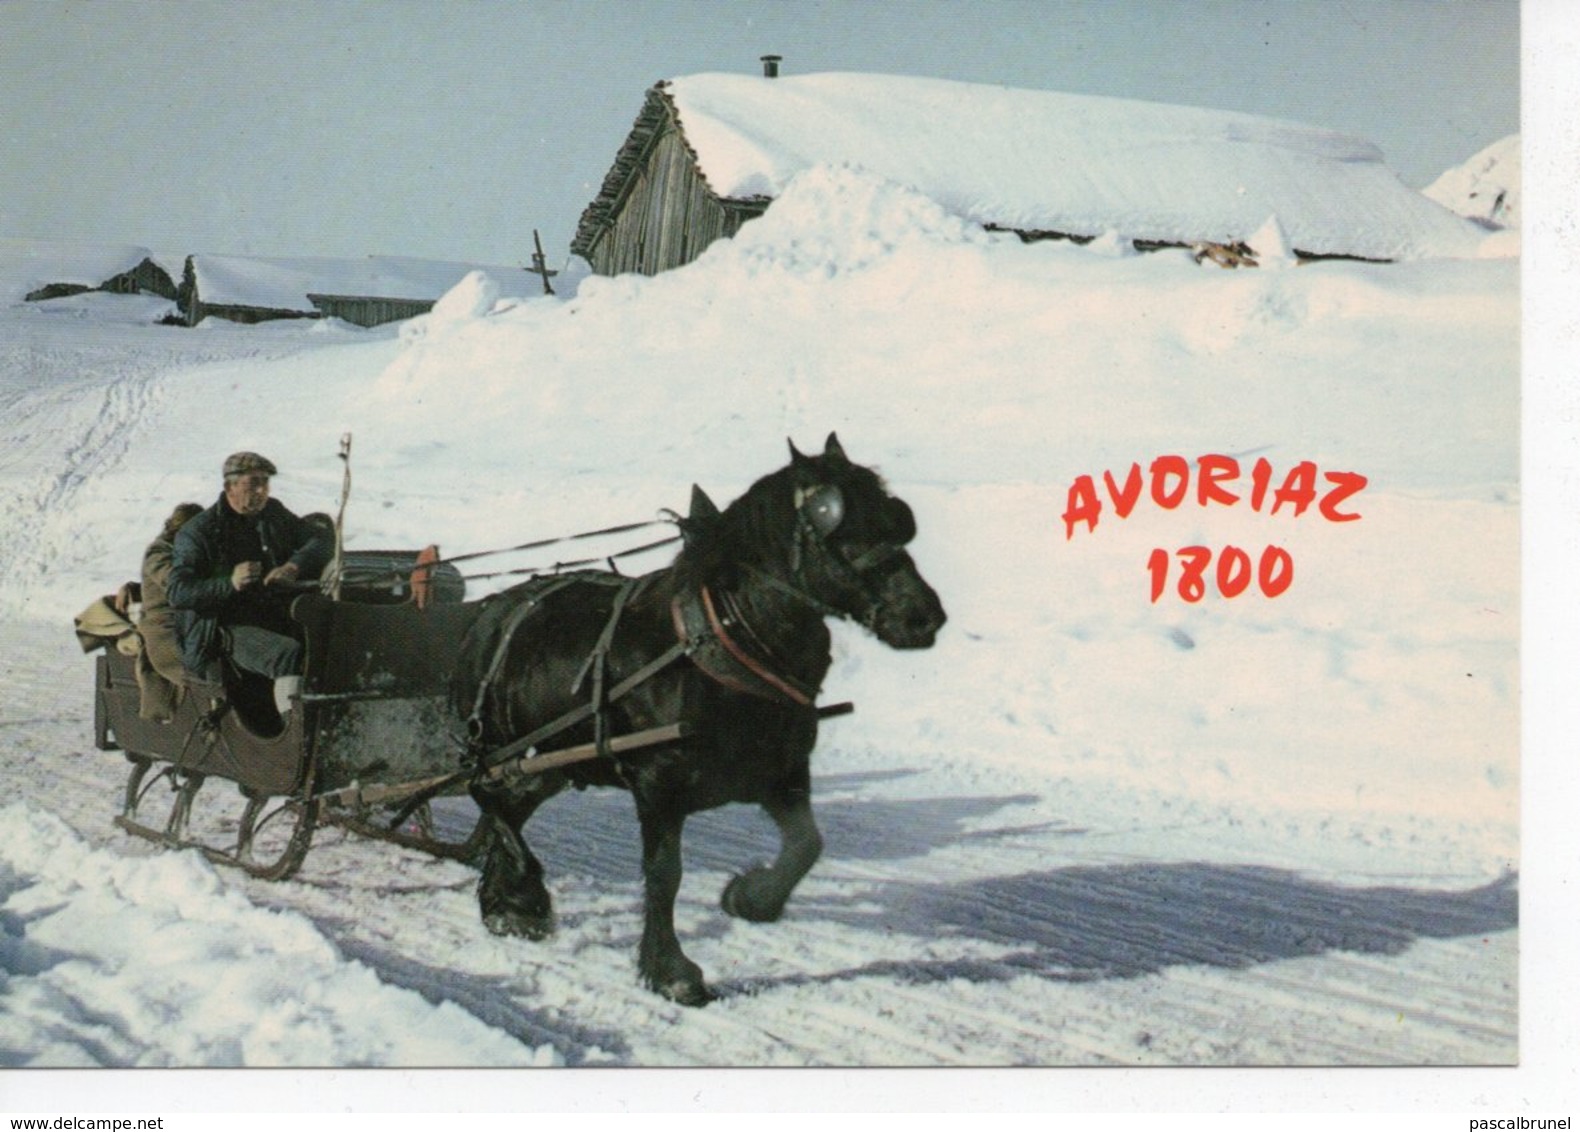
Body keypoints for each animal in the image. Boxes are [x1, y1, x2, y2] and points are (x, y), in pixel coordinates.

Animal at [455, 436, 948, 1005]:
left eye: (897, 518)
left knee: (509, 810)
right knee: (488, 797)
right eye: (839, 527)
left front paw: (751, 898)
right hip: (501, 749)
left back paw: (505, 900)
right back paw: (524, 896)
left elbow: (807, 845)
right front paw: (671, 970)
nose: (924, 616)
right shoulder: (658, 783)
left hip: (551, 760)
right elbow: (665, 874)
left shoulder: (780, 771)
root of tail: (490, 610)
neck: (718, 648)